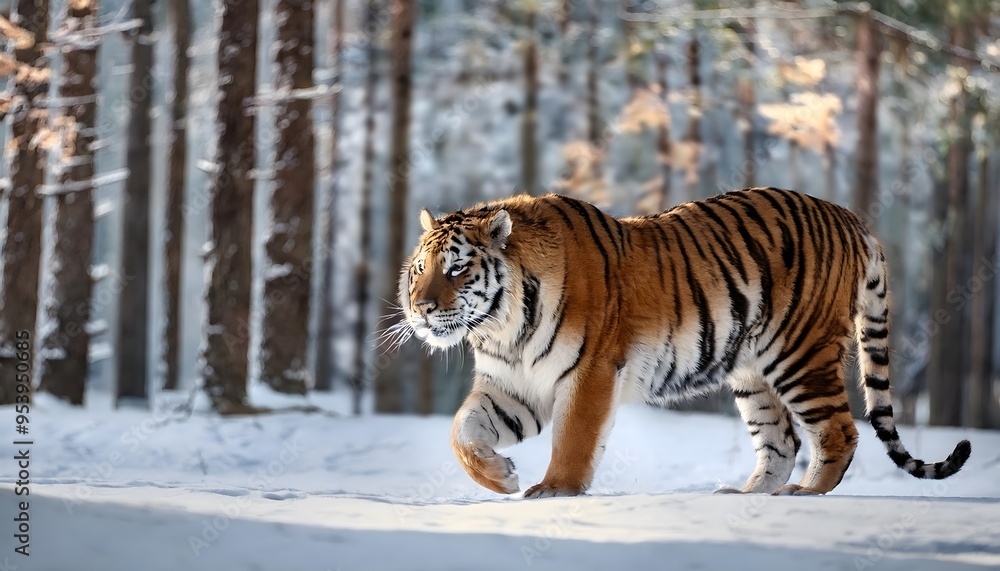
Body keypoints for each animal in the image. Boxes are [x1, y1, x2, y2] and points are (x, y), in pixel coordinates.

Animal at [399, 187, 971, 498]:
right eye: (420, 269)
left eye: (456, 269)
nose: (420, 308)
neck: (501, 327)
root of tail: (850, 217)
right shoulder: (512, 385)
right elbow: (462, 432)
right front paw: (501, 478)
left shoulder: (589, 370)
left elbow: (574, 438)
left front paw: (553, 489)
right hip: (752, 371)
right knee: (781, 440)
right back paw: (744, 495)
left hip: (800, 353)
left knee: (838, 431)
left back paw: (804, 493)